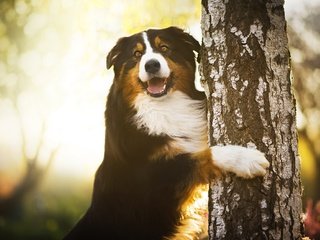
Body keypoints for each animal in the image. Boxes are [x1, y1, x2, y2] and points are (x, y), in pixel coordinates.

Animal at [65, 26, 270, 240]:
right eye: (136, 54)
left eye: (164, 48)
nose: (152, 65)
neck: (164, 106)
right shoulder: (154, 187)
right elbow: (199, 156)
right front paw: (245, 159)